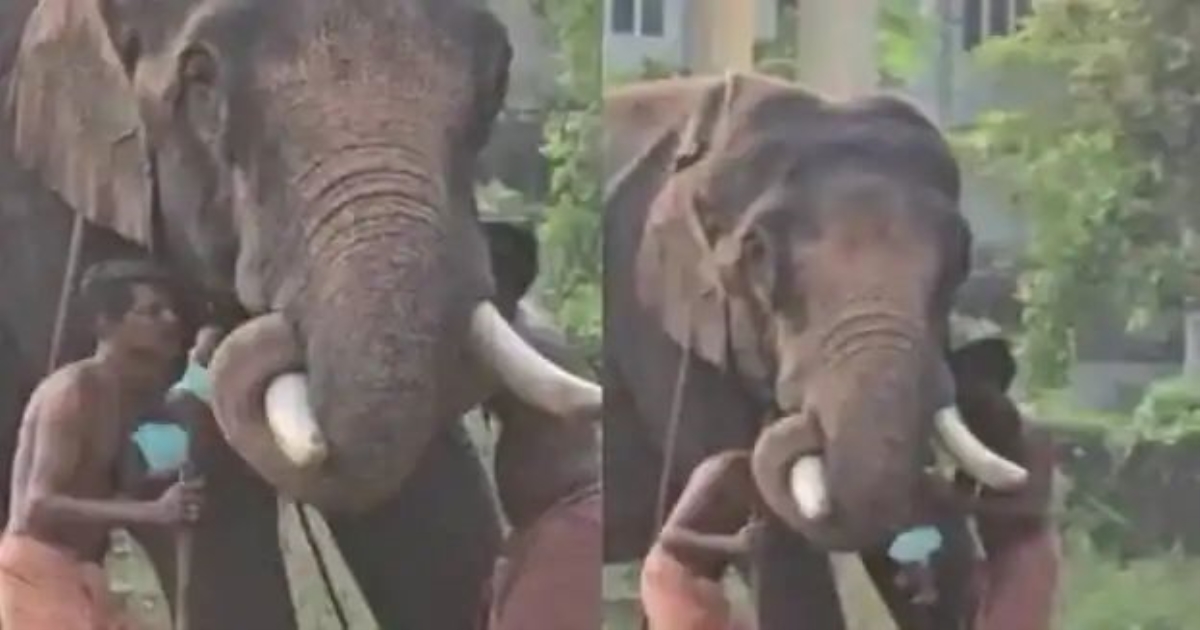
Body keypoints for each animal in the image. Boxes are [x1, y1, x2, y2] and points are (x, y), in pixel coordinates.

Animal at [0, 1, 601, 628]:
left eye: (497, 74)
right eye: (201, 76)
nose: (209, 336)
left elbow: (426, 490)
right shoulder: (47, 214)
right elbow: (214, 501)